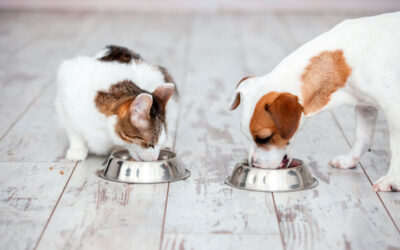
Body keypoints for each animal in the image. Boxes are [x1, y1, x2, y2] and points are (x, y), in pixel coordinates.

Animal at [228, 11, 400, 191]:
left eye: (265, 138)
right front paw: (349, 160)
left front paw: (392, 179)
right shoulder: (365, 106)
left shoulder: (394, 109)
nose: (254, 165)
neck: (341, 62)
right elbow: (362, 137)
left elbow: (396, 147)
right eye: (246, 136)